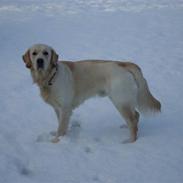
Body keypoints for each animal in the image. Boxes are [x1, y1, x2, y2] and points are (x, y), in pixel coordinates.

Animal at [22, 44, 161, 143]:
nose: (40, 61)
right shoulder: (58, 108)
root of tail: (124, 64)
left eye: (46, 53)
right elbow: (61, 124)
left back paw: (130, 141)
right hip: (124, 101)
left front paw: (56, 141)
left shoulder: (65, 107)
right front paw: (62, 136)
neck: (50, 77)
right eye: (34, 53)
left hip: (120, 101)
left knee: (132, 120)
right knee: (136, 115)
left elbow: (61, 127)